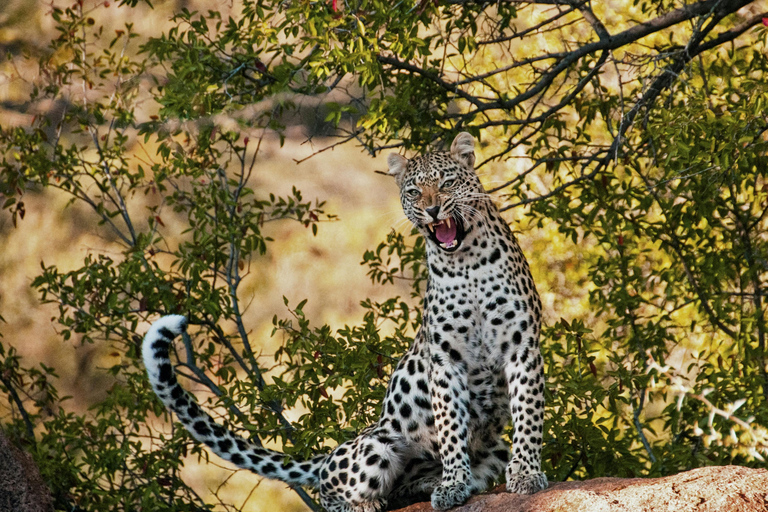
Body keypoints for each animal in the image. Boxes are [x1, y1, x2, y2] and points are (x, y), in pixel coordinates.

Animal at [142, 133, 544, 512]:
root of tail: (328, 457)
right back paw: (374, 500)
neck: (466, 261)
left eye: (447, 182)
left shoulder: (521, 345)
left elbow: (528, 415)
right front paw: (452, 483)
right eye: (413, 191)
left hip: (493, 448)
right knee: (330, 492)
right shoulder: (446, 359)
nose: (431, 210)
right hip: (376, 445)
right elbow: (449, 427)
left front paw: (526, 473)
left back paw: (426, 485)